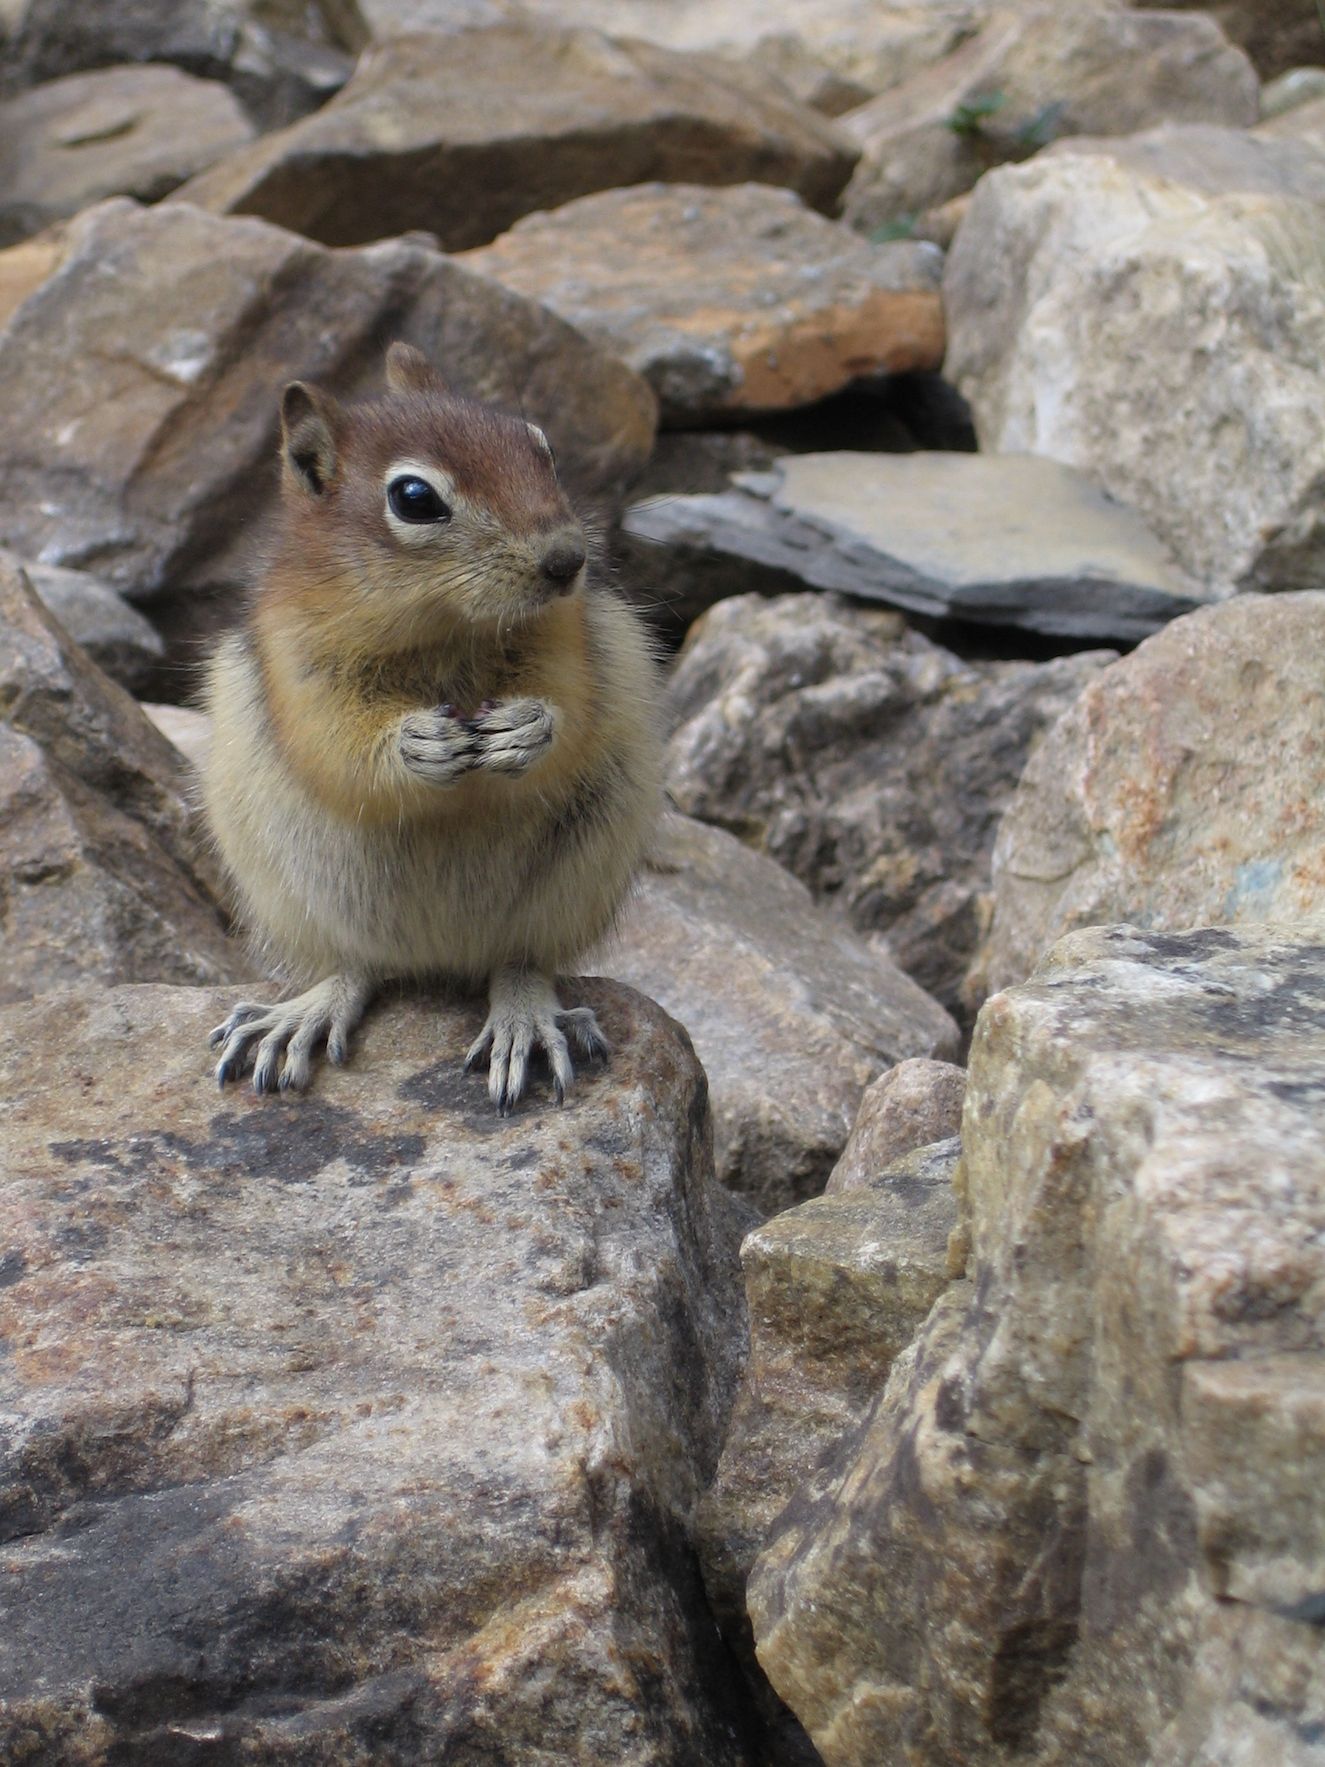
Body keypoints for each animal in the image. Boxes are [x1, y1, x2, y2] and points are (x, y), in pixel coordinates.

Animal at [201, 341, 664, 1102]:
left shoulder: (571, 639)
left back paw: (524, 1021)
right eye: (414, 499)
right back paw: (302, 1013)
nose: (568, 560)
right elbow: (332, 742)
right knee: (356, 965)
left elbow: (571, 704)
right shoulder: (297, 659)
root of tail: (442, 957)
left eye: (538, 444)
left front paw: (528, 728)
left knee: (520, 960)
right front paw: (418, 744)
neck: (445, 627)